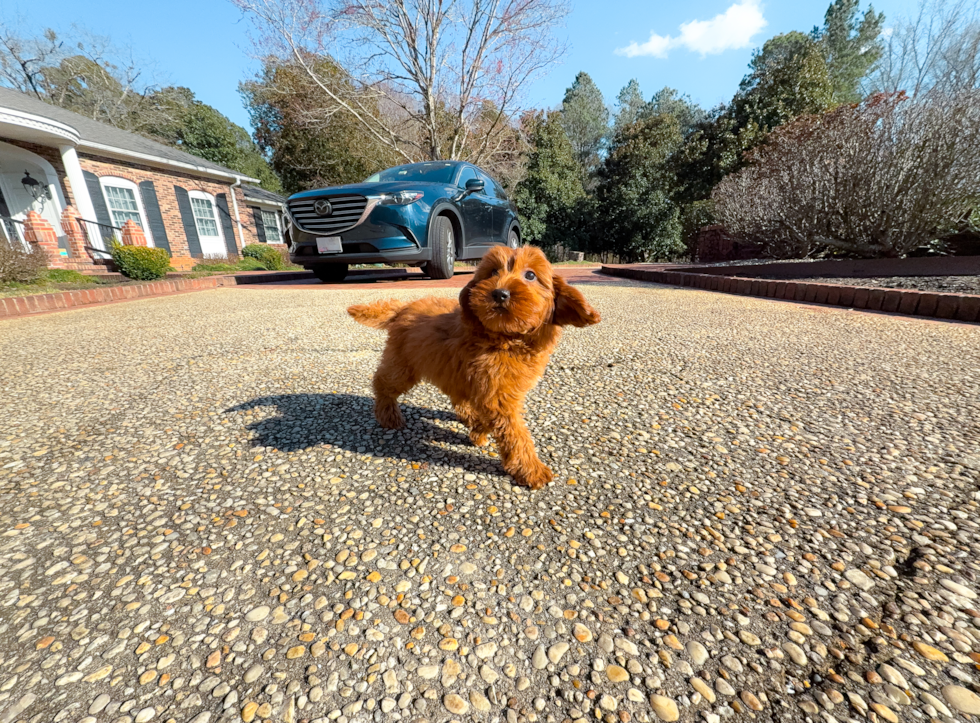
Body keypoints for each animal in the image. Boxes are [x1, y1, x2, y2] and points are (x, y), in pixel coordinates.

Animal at [348, 246, 600, 490]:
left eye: (530, 275)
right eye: (492, 272)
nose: (499, 293)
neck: (505, 338)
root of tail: (403, 307)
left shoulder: (488, 385)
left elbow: (490, 415)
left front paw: (478, 431)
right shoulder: (496, 394)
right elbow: (515, 433)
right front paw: (531, 469)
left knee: (454, 393)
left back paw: (467, 416)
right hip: (404, 365)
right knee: (383, 383)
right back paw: (388, 415)